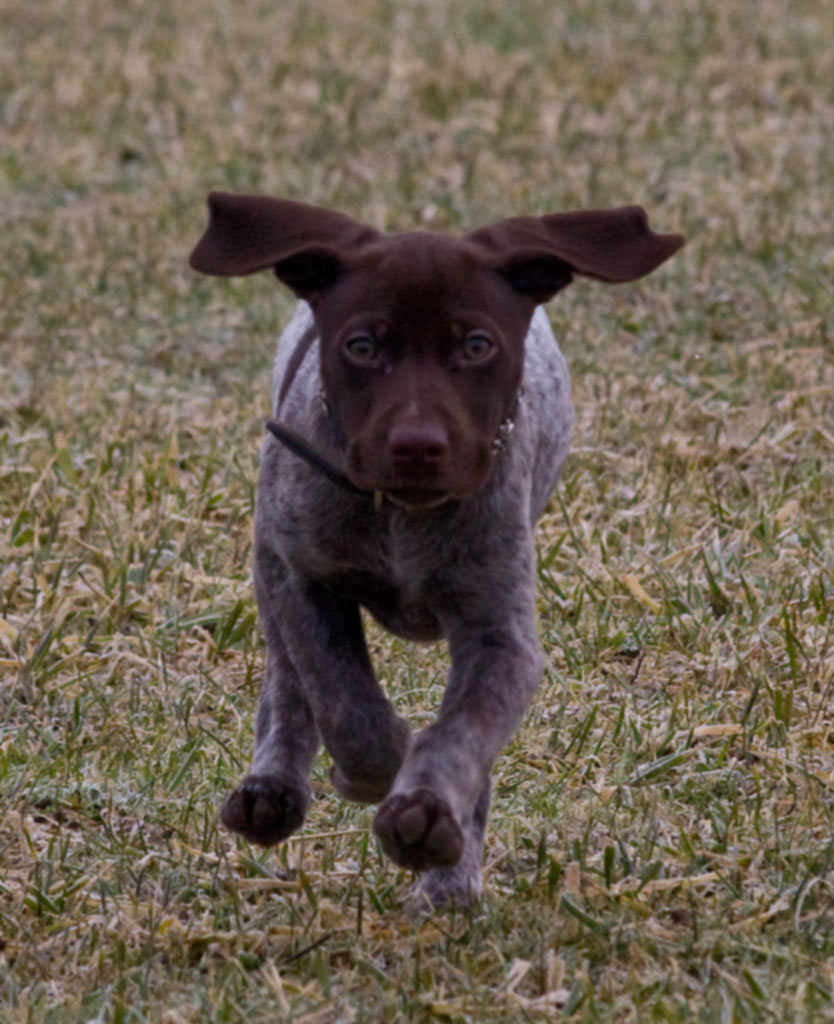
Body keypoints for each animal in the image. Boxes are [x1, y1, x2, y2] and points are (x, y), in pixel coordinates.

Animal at [190, 195, 684, 909]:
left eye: (477, 346)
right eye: (362, 346)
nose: (418, 445)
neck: (403, 515)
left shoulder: (500, 635)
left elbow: (460, 736)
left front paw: (426, 818)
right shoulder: (302, 578)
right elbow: (342, 700)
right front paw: (377, 768)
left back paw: (449, 877)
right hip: (269, 565)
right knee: (287, 680)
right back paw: (272, 789)